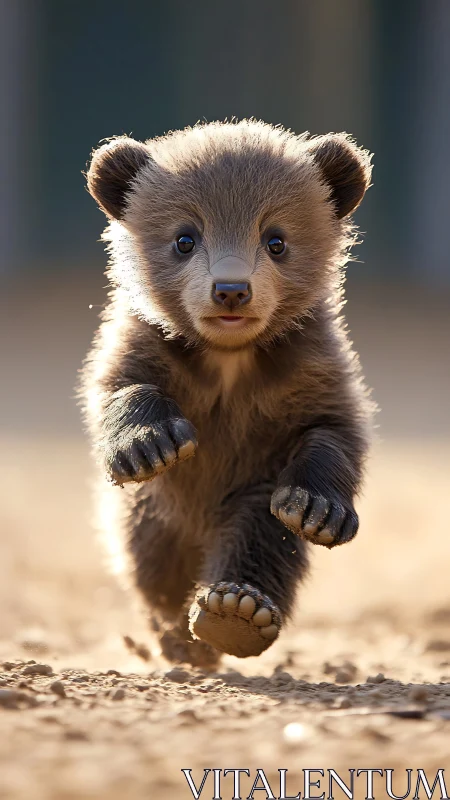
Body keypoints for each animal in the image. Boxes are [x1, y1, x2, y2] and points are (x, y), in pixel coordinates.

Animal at [81, 120, 373, 666]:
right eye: (185, 238)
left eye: (276, 240)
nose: (232, 289)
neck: (229, 357)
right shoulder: (147, 344)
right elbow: (119, 386)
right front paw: (149, 445)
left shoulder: (308, 367)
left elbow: (334, 429)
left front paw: (319, 509)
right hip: (154, 513)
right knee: (151, 565)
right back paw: (177, 638)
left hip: (248, 490)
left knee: (260, 538)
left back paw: (234, 611)